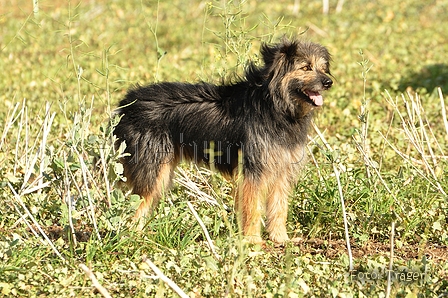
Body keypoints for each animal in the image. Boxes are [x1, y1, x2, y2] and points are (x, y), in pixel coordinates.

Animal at [114, 39, 332, 244]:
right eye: (306, 67)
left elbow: (279, 207)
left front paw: (280, 238)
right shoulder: (252, 171)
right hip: (152, 168)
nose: (329, 82)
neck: (276, 105)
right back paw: (135, 236)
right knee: (139, 203)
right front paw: (252, 241)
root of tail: (125, 105)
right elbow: (252, 207)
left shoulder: (281, 169)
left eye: (323, 68)